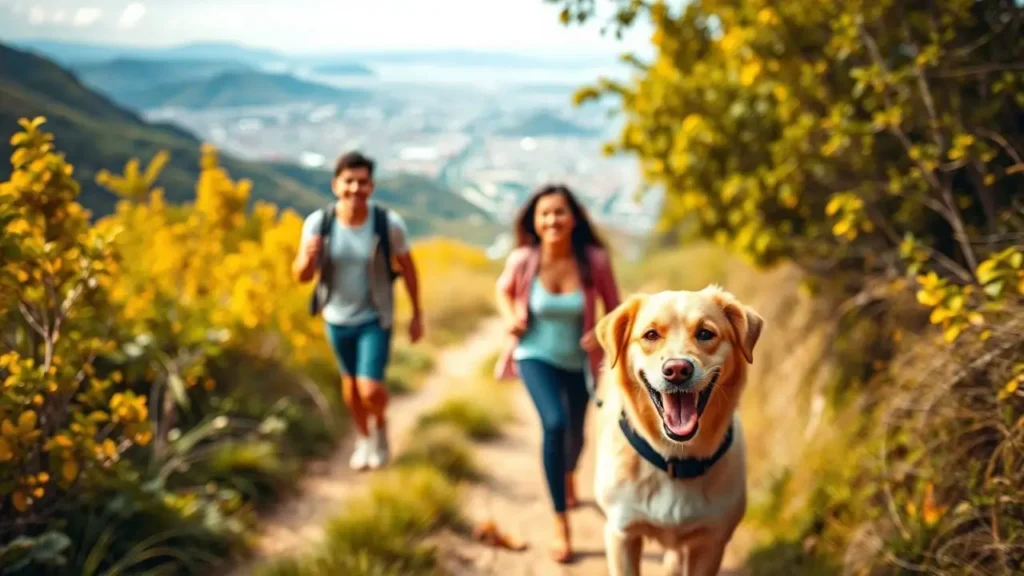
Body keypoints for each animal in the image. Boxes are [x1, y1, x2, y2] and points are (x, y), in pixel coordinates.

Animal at [593, 284, 761, 569]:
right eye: (651, 335)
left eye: (705, 333)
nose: (677, 370)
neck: (675, 459)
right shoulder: (621, 535)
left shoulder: (710, 543)